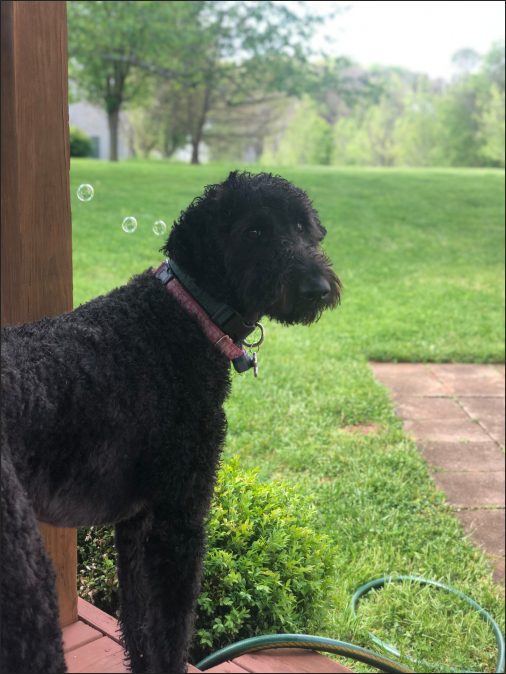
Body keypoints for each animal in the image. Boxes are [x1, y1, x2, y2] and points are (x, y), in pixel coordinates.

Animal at [0, 171, 340, 672]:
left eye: (301, 227)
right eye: (254, 231)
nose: (318, 287)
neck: (186, 315)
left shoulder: (135, 523)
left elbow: (139, 626)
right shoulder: (179, 519)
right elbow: (171, 633)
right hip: (27, 586)